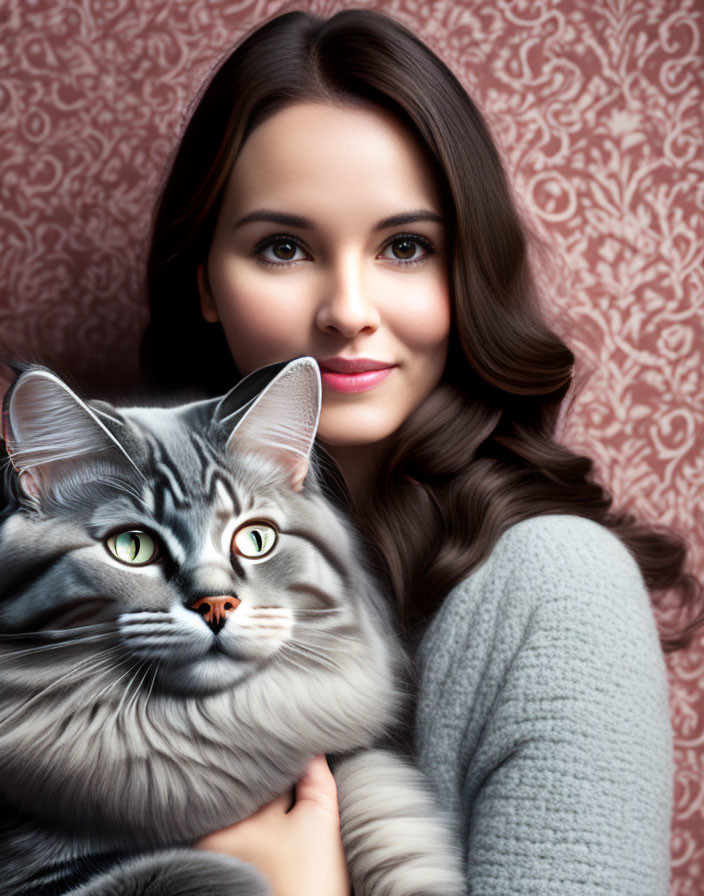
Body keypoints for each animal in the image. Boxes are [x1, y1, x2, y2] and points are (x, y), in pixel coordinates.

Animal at [0, 356, 462, 896]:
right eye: (132, 546)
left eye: (256, 539)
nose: (217, 604)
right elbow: (201, 870)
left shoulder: (355, 760)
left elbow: (387, 809)